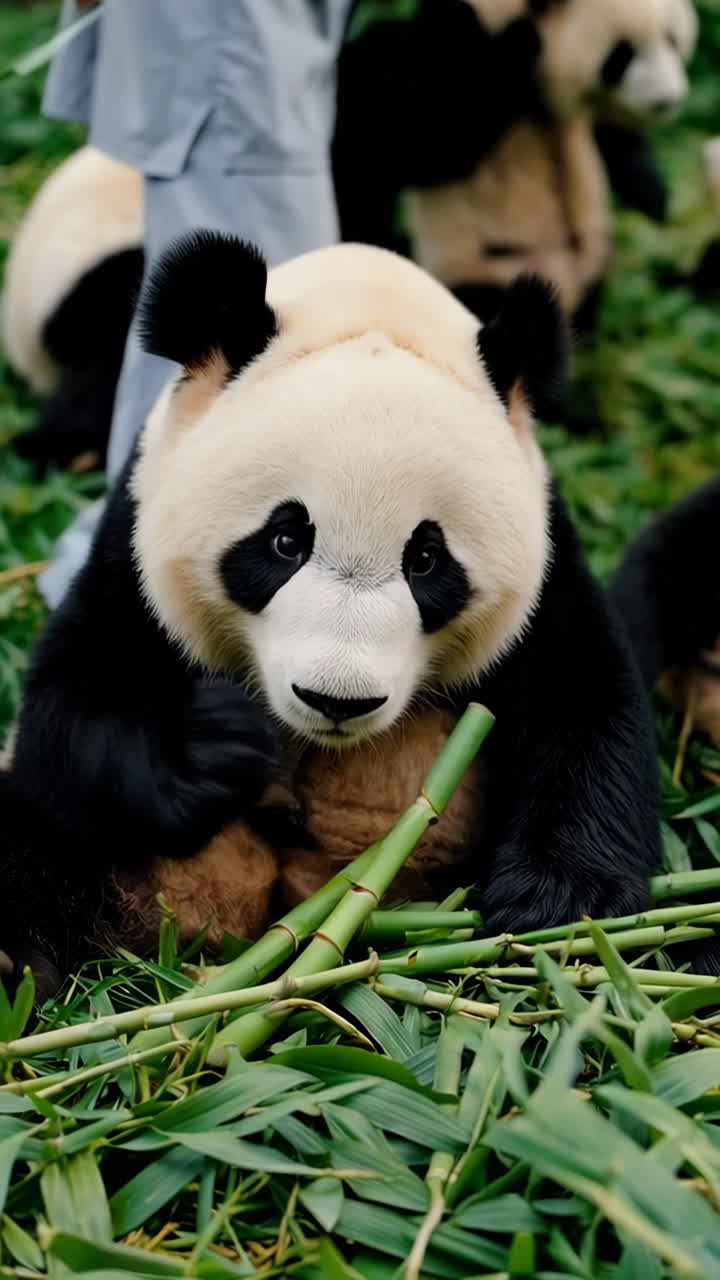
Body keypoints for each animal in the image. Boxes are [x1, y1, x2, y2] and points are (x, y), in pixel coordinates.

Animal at [2, 231, 660, 991]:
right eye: (285, 541)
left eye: (426, 560)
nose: (336, 700)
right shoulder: (131, 546)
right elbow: (73, 718)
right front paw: (215, 745)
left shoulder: (546, 562)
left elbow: (588, 703)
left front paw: (559, 902)